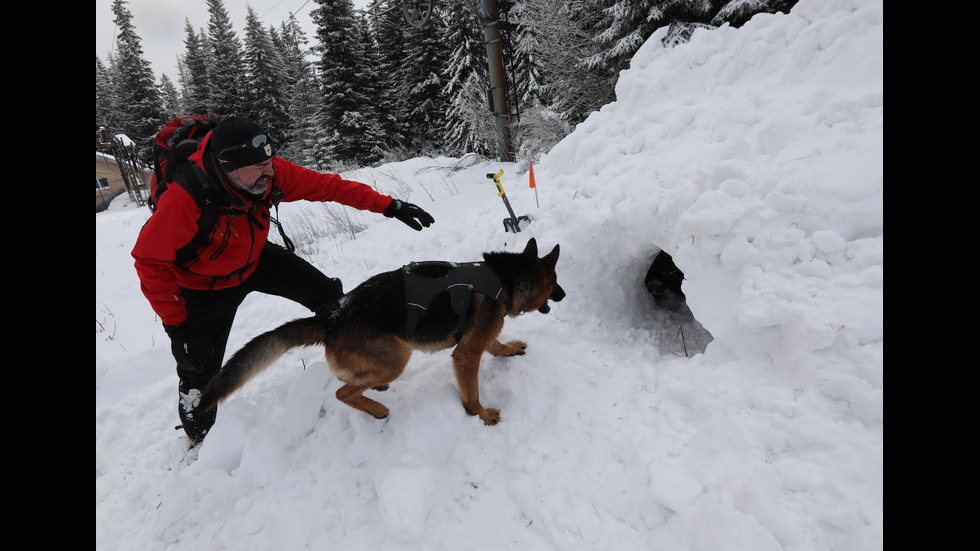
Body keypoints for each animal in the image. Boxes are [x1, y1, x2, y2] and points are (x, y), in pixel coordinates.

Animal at [201, 239, 560, 424]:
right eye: (555, 282)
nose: (564, 294)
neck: (505, 277)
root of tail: (333, 316)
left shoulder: (479, 337)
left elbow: (495, 344)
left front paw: (508, 349)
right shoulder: (466, 354)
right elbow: (471, 391)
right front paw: (480, 414)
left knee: (351, 382)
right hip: (397, 356)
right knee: (342, 393)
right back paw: (376, 409)